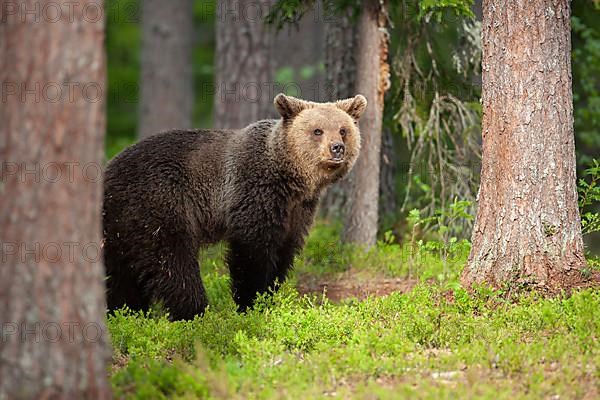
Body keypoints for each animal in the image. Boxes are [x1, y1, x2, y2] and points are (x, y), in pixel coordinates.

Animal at [102, 92, 366, 320]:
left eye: (343, 130)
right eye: (317, 130)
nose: (337, 148)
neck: (291, 178)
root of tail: (108, 171)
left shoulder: (297, 210)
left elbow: (284, 250)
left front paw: (270, 296)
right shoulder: (254, 191)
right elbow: (251, 251)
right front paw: (251, 302)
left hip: (120, 226)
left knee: (122, 274)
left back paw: (125, 313)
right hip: (159, 205)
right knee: (173, 264)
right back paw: (194, 313)